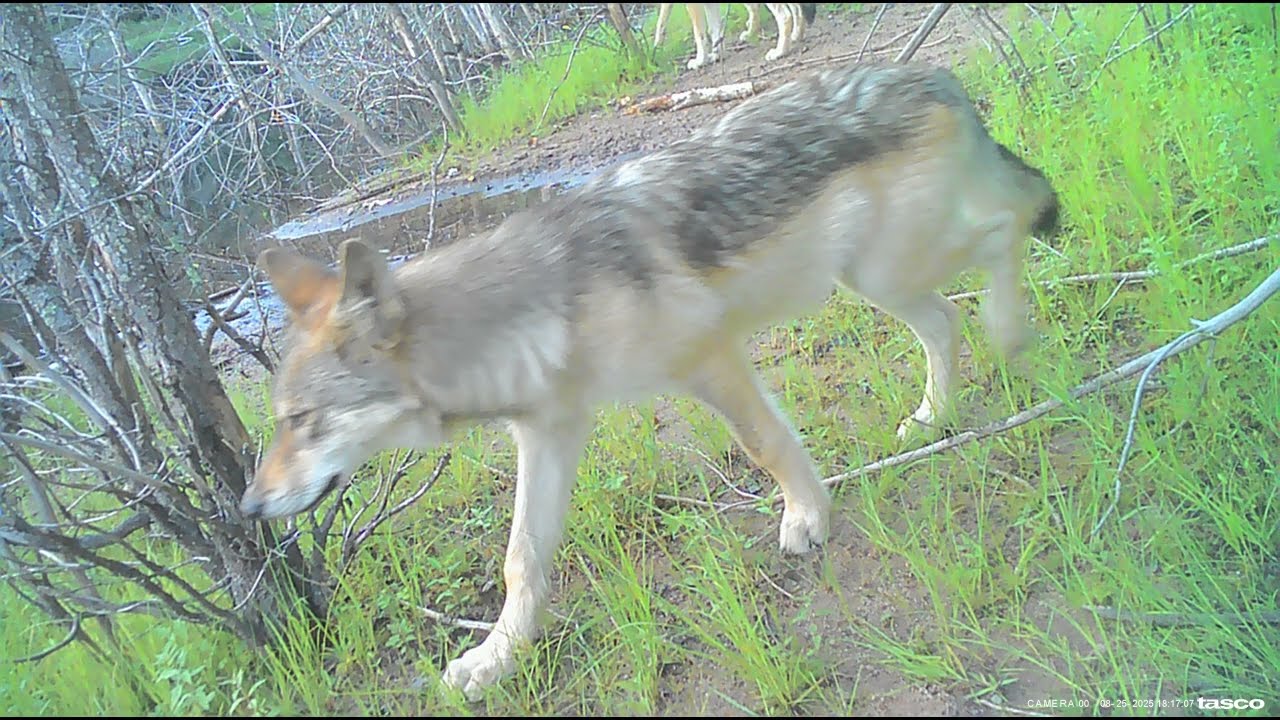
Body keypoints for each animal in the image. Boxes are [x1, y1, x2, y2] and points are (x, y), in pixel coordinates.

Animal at [240, 61, 1059, 700]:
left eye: (303, 422)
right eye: (281, 422)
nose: (248, 506)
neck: (537, 309)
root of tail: (932, 74)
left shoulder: (709, 361)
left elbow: (767, 447)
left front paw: (808, 517)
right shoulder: (548, 435)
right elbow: (521, 561)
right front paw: (496, 659)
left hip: (896, 266)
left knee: (1013, 224)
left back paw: (1009, 331)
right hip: (876, 279)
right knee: (947, 321)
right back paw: (933, 417)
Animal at [654, 3, 818, 69]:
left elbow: (699, 35)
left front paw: (701, 61)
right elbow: (715, 30)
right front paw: (716, 56)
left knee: (785, 16)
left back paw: (780, 52)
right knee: (796, 10)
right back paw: (796, 36)